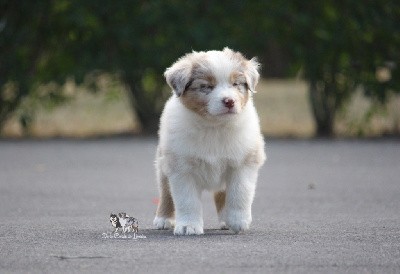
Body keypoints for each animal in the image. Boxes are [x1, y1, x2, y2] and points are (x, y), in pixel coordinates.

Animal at [153, 47, 266, 235]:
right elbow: (186, 200)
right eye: (206, 86)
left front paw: (238, 221)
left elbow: (240, 192)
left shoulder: (243, 161)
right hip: (163, 164)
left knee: (222, 194)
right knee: (166, 191)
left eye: (236, 84)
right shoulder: (181, 167)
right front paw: (188, 226)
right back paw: (163, 219)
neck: (214, 126)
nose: (229, 101)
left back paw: (226, 220)